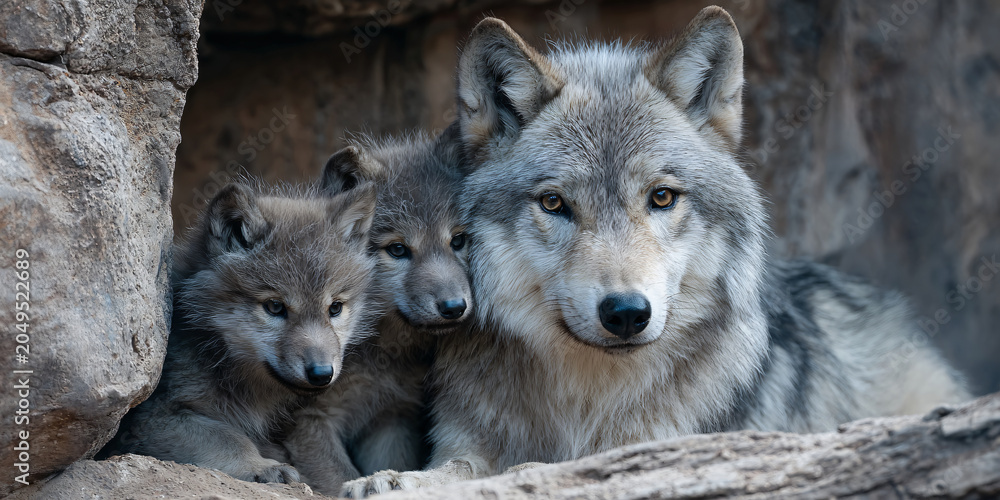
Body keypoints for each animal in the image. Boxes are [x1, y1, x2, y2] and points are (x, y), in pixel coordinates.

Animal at [106, 181, 377, 483]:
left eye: (335, 308)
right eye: (274, 307)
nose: (321, 374)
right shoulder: (151, 417)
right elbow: (229, 438)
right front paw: (262, 465)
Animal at [283, 130, 472, 495]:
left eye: (459, 240)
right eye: (397, 249)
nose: (454, 307)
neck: (379, 355)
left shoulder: (391, 418)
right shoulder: (310, 422)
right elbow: (338, 479)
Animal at [341, 6, 971, 495]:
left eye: (662, 197)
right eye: (554, 203)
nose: (625, 313)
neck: (587, 411)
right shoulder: (468, 441)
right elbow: (462, 469)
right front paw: (395, 481)